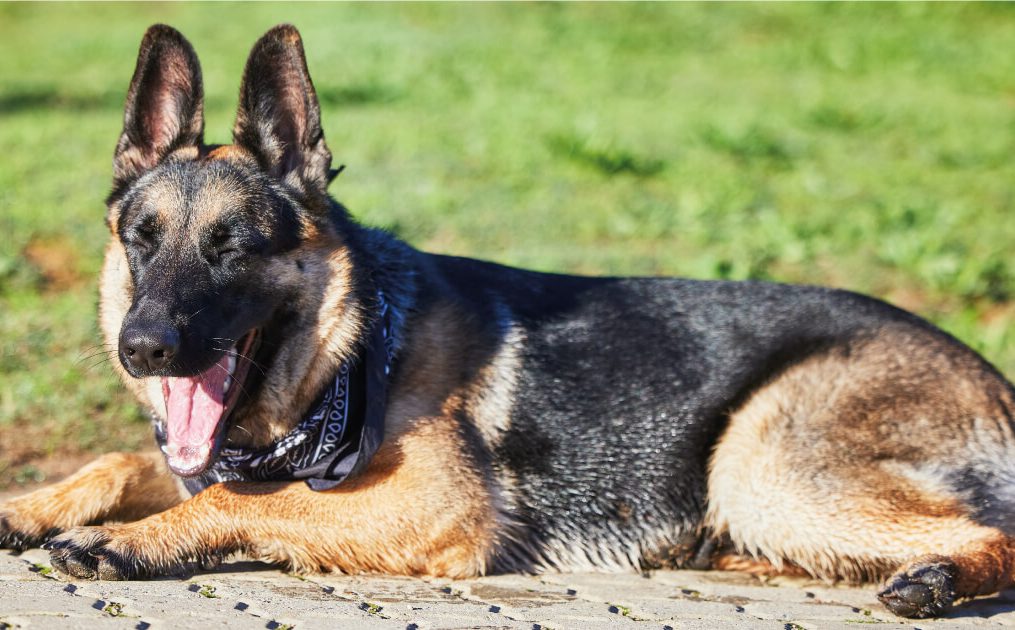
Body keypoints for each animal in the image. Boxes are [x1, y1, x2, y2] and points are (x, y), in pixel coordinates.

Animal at [1, 22, 1015, 616]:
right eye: (141, 240)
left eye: (232, 247)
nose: (143, 348)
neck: (353, 351)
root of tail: (993, 378)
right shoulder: (203, 451)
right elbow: (126, 463)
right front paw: (26, 506)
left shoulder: (434, 507)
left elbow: (242, 499)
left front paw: (128, 540)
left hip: (758, 462)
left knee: (985, 534)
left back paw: (933, 580)